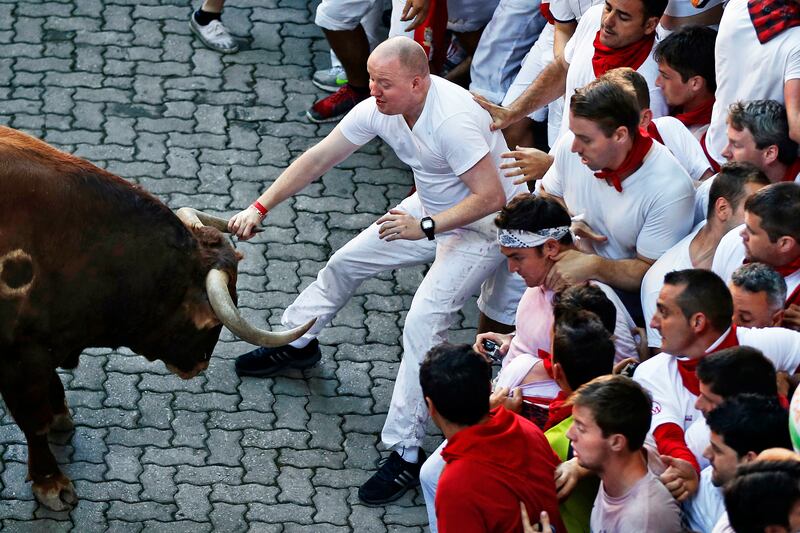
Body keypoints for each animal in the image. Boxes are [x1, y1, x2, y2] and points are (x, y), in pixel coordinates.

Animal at [0, 126, 313, 511]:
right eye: (212, 324)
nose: (199, 365)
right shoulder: (17, 360)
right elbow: (34, 422)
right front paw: (51, 483)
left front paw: (61, 415)